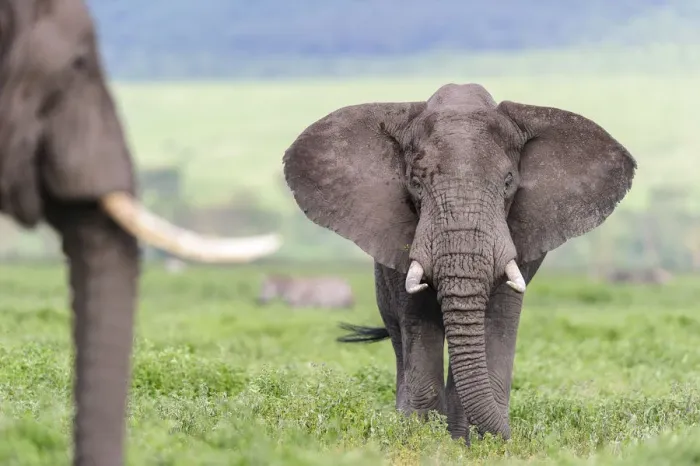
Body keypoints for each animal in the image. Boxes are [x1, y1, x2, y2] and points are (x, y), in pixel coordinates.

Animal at [283, 83, 636, 442]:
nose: (514, 438)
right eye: (415, 184)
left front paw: (477, 444)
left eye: (508, 183)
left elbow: (499, 318)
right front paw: (424, 439)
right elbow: (418, 318)